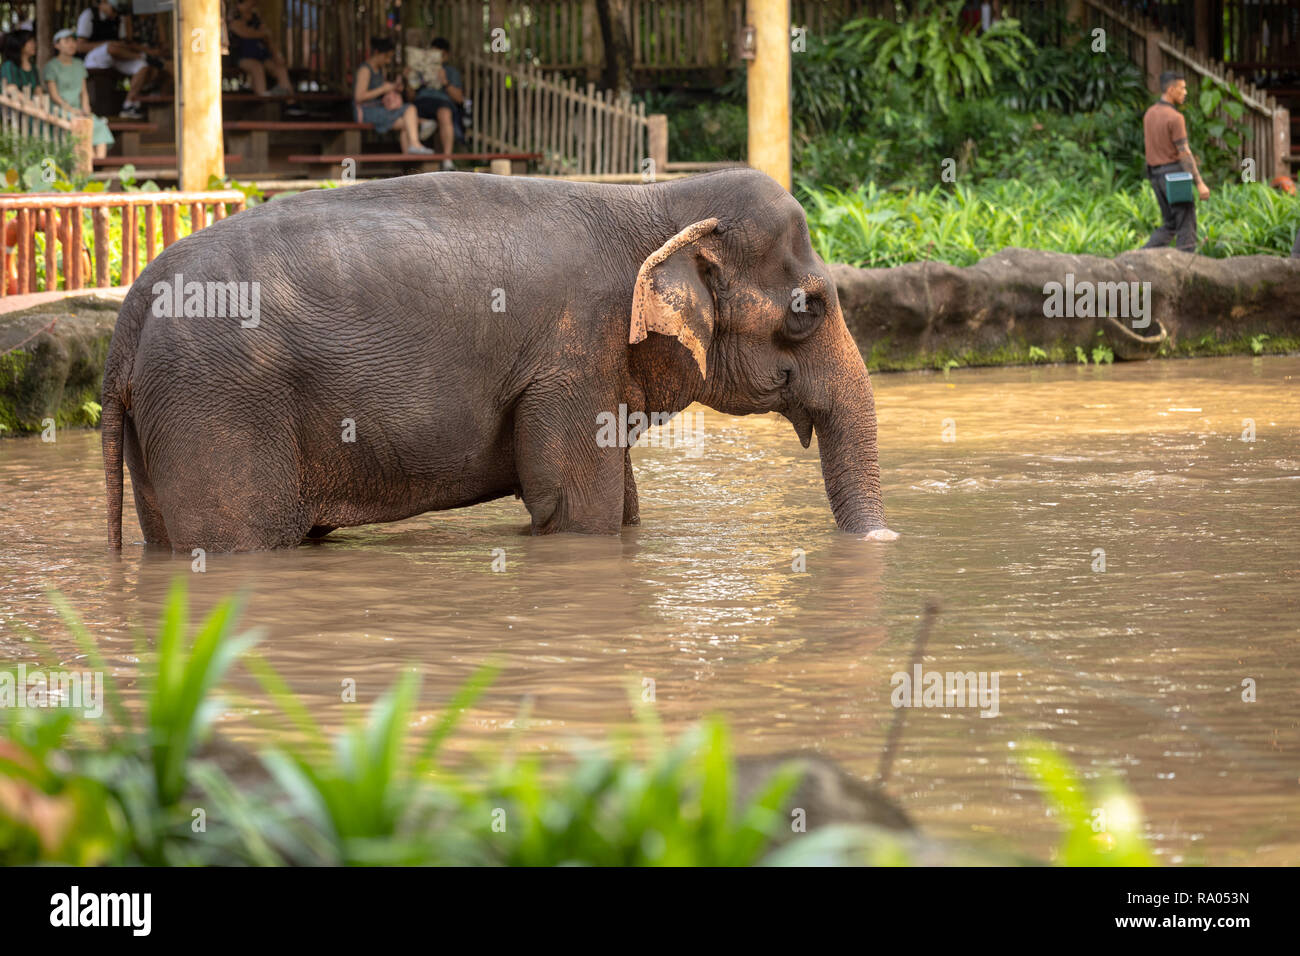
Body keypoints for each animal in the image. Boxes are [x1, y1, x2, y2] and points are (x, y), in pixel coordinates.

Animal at [102, 168, 892, 552]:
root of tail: (125, 325)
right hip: (218, 406)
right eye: (806, 310)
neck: (651, 203)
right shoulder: (573, 356)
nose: (889, 542)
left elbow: (622, 506)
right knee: (241, 539)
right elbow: (578, 508)